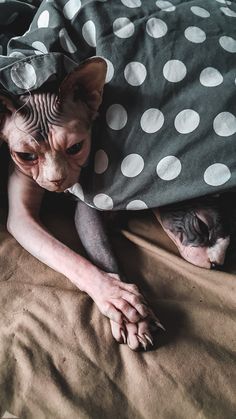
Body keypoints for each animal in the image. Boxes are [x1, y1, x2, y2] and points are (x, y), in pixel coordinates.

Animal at [0, 56, 230, 352]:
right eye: (25, 155)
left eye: (76, 147)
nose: (217, 264)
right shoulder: (34, 216)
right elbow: (83, 258)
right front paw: (120, 303)